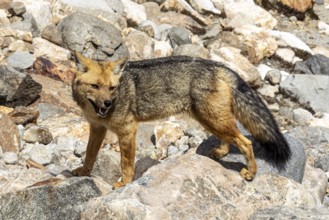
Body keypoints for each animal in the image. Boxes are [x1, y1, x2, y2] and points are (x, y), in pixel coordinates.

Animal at [71, 52, 290, 189]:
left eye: (112, 88)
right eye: (95, 86)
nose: (108, 103)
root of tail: (216, 65)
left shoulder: (127, 129)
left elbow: (126, 163)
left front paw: (124, 183)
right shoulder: (97, 128)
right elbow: (90, 154)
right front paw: (83, 172)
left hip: (212, 120)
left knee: (245, 142)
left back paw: (250, 172)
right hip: (211, 120)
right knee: (231, 138)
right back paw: (220, 152)